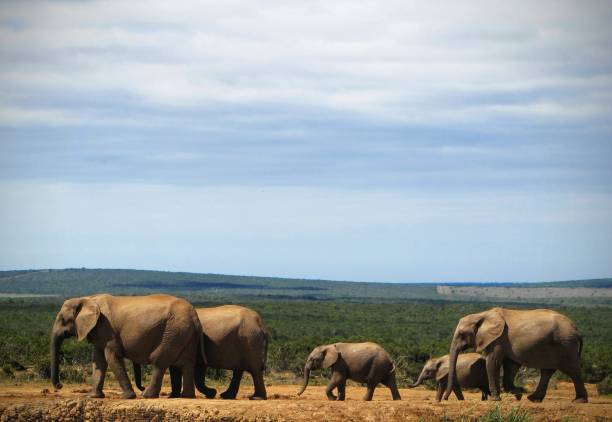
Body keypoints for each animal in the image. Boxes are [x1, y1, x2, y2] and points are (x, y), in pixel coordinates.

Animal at [50, 294, 203, 398]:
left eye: (63, 320)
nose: (59, 385)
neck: (88, 298)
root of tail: (194, 315)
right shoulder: (98, 330)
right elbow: (98, 361)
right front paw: (94, 397)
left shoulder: (107, 329)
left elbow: (111, 357)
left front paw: (128, 397)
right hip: (184, 332)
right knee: (187, 363)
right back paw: (187, 396)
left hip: (173, 330)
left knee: (159, 360)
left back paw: (146, 395)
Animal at [134, 304, 268, 400]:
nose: (143, 387)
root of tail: (261, 325)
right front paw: (174, 396)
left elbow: (196, 371)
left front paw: (211, 393)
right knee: (239, 370)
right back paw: (226, 396)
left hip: (250, 341)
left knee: (254, 369)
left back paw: (256, 398)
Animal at [444, 306, 588, 402]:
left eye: (461, 334)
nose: (444, 399)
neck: (481, 315)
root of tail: (577, 331)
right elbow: (510, 365)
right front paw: (518, 394)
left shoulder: (499, 338)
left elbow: (493, 362)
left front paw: (495, 399)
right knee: (547, 371)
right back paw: (533, 399)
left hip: (566, 344)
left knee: (573, 370)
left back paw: (579, 401)